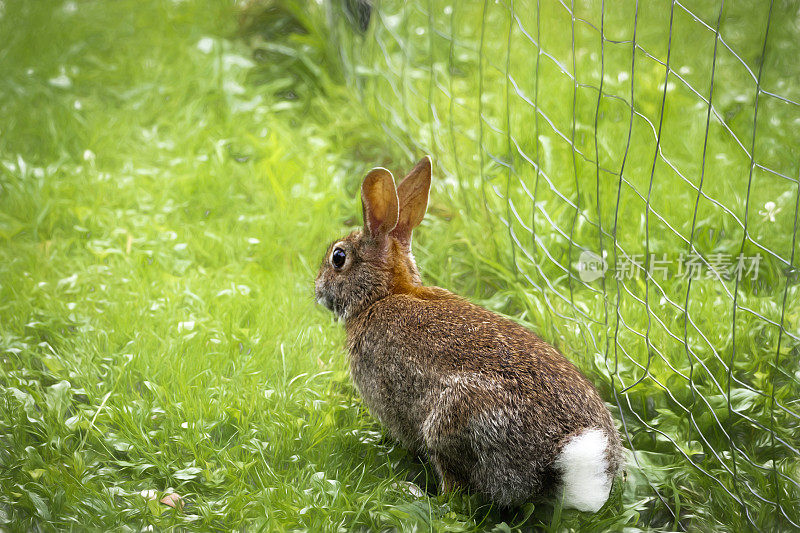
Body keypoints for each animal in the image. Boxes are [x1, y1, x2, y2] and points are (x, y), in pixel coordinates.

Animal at [314, 157, 624, 512]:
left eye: (338, 258)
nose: (318, 290)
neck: (381, 295)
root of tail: (561, 463)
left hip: (450, 425)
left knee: (457, 494)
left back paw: (413, 493)